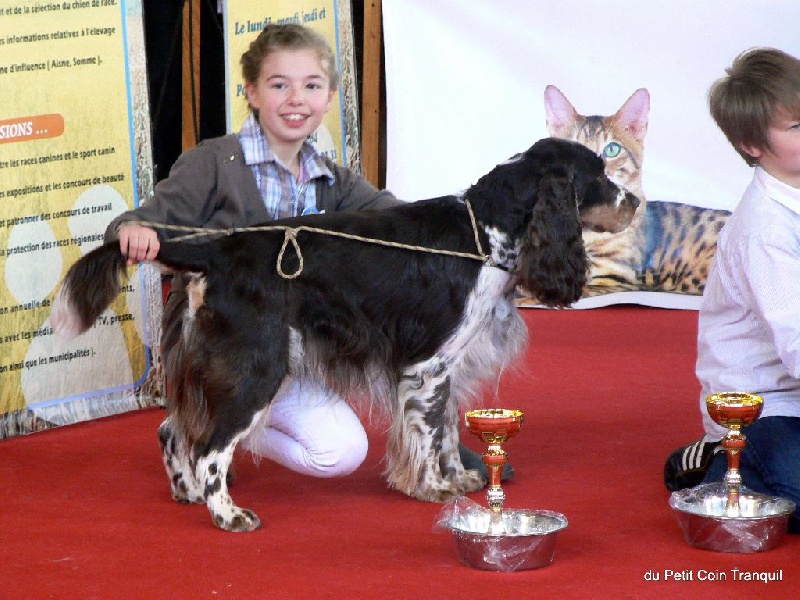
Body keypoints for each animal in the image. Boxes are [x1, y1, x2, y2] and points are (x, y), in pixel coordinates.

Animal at [50, 138, 636, 532]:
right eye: (599, 174)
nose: (634, 202)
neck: (486, 233)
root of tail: (216, 248)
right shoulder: (428, 365)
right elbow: (429, 433)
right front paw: (435, 489)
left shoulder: (448, 364)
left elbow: (447, 429)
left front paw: (462, 481)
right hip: (256, 363)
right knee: (211, 445)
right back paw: (228, 513)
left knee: (174, 430)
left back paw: (187, 492)